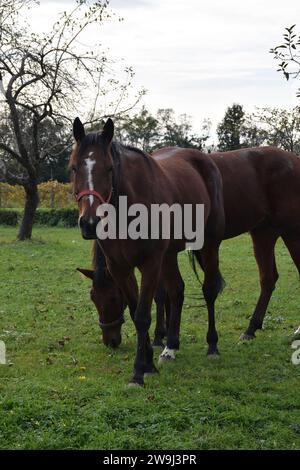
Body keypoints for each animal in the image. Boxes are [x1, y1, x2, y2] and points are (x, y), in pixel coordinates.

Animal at [70, 117, 225, 386]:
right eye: (74, 168)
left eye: (109, 169)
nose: (89, 223)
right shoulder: (120, 268)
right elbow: (136, 313)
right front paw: (149, 363)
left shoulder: (150, 263)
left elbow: (143, 315)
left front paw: (138, 372)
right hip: (170, 254)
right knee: (177, 291)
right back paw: (170, 347)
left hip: (208, 244)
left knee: (209, 290)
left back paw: (212, 345)